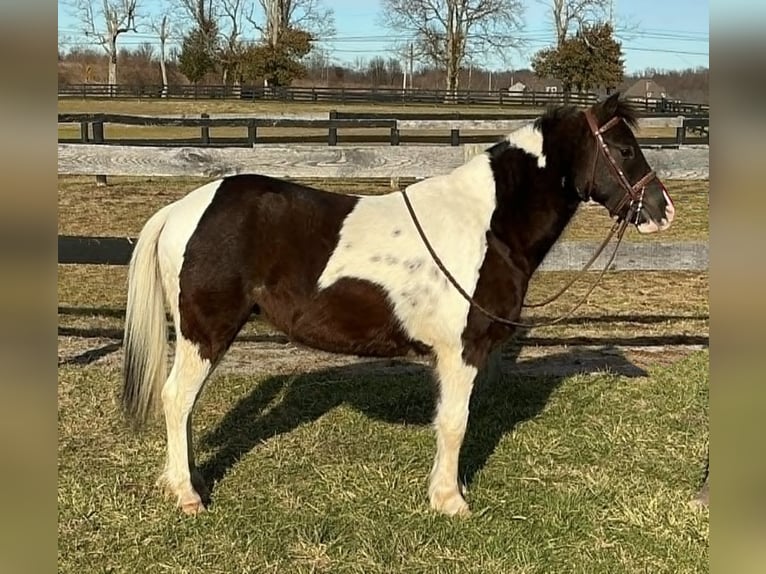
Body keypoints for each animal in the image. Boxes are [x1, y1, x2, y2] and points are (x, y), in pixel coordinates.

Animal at [121, 92, 675, 517]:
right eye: (624, 149)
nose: (662, 210)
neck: (487, 226)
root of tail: (184, 208)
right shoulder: (462, 352)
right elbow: (454, 424)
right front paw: (450, 502)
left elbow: (445, 421)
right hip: (204, 333)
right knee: (177, 400)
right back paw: (188, 495)